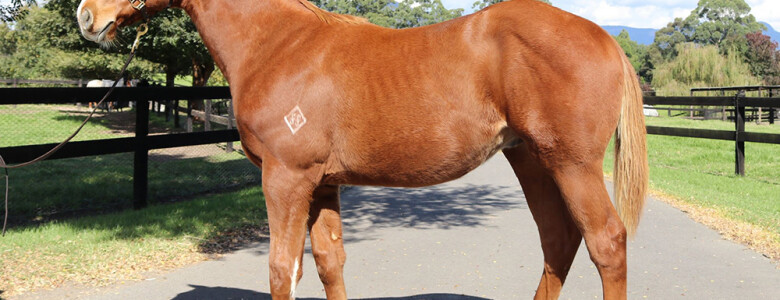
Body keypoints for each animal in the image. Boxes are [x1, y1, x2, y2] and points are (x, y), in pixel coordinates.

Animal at [79, 1, 648, 298]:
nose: (86, 15)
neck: (278, 44)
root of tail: (605, 37)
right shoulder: (321, 183)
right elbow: (329, 262)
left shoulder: (285, 179)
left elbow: (281, 268)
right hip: (532, 160)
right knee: (558, 239)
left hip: (571, 165)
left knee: (606, 242)